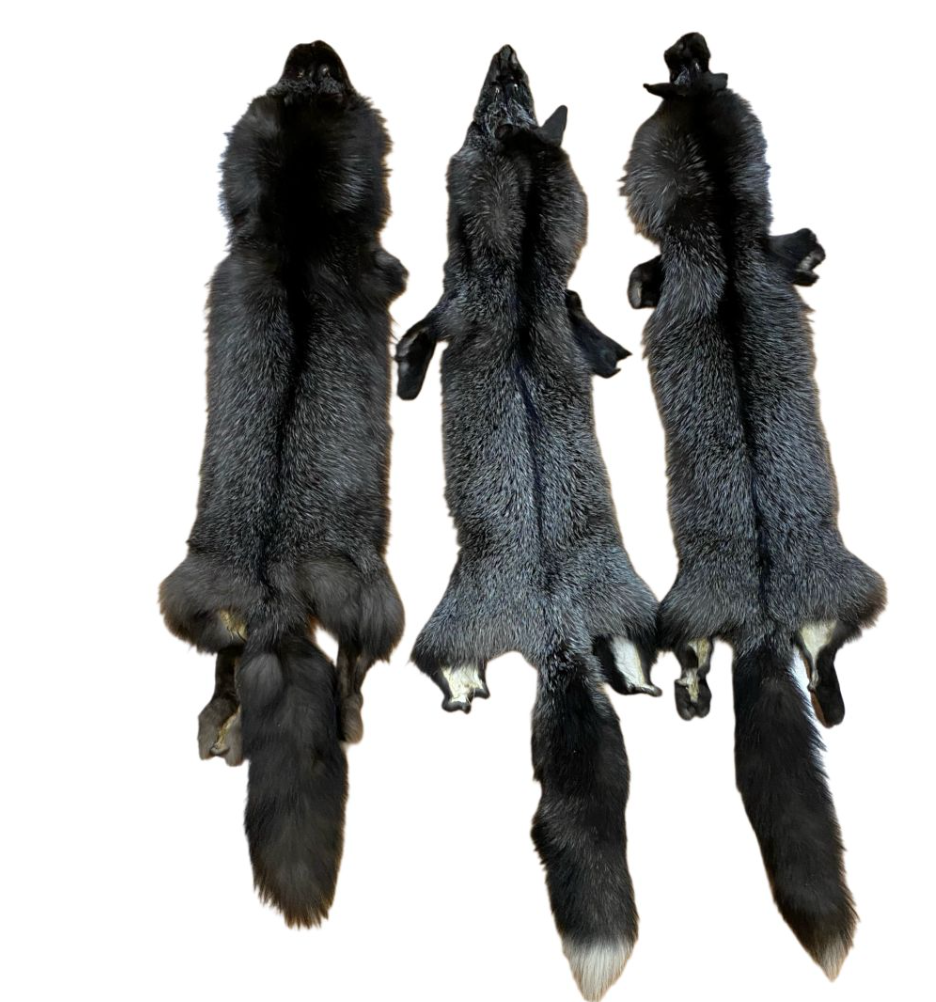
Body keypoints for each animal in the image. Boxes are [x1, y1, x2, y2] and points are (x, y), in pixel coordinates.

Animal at [159, 41, 405, 927]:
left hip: (194, 602)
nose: (312, 45)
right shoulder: (381, 263)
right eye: (320, 84)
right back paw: (349, 718)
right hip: (372, 598)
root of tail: (269, 598)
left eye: (295, 81)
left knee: (225, 672)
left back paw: (221, 731)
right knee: (353, 672)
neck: (297, 237)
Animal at [396, 45, 658, 1001]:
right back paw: (644, 680)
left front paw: (406, 373)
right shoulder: (569, 314)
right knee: (636, 656)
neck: (517, 285)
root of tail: (558, 631)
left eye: (489, 111)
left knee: (439, 660)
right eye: (507, 94)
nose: (505, 51)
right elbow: (599, 348)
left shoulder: (448, 301)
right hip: (636, 606)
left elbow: (417, 336)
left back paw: (458, 687)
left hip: (447, 623)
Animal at [622, 32, 886, 978]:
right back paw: (829, 701)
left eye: (688, 74)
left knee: (697, 660)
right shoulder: (769, 246)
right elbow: (802, 250)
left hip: (686, 610)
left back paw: (696, 695)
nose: (689, 38)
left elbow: (641, 282)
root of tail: (768, 613)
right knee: (829, 661)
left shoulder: (686, 262)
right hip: (845, 589)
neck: (725, 239)